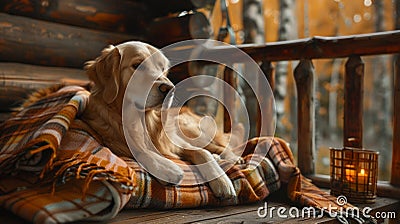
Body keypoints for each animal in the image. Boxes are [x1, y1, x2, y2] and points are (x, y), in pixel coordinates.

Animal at [81, 41, 244, 199]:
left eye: (163, 69)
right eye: (137, 65)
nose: (169, 88)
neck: (143, 121)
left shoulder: (178, 142)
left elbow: (203, 153)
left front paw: (222, 181)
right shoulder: (111, 139)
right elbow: (138, 150)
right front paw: (166, 168)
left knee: (220, 146)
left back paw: (232, 158)